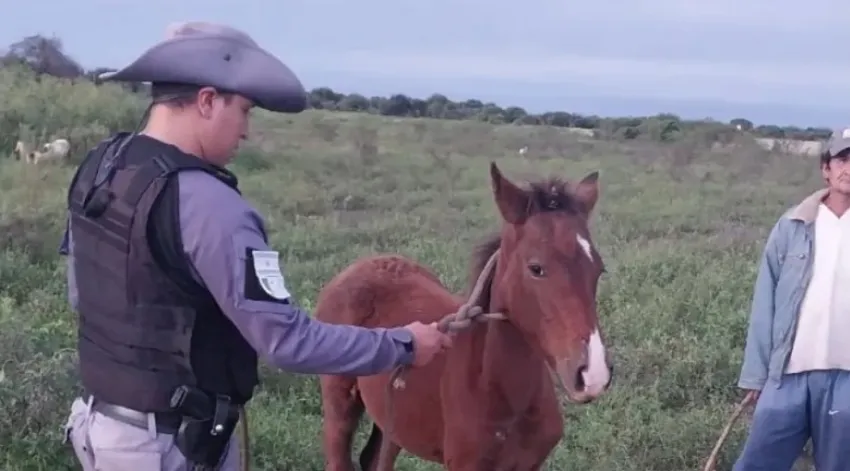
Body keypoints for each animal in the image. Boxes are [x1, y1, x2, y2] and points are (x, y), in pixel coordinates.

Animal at [316, 161, 613, 471]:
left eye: (599, 270)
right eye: (536, 268)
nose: (592, 375)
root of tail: (360, 265)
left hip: (392, 417)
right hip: (340, 406)